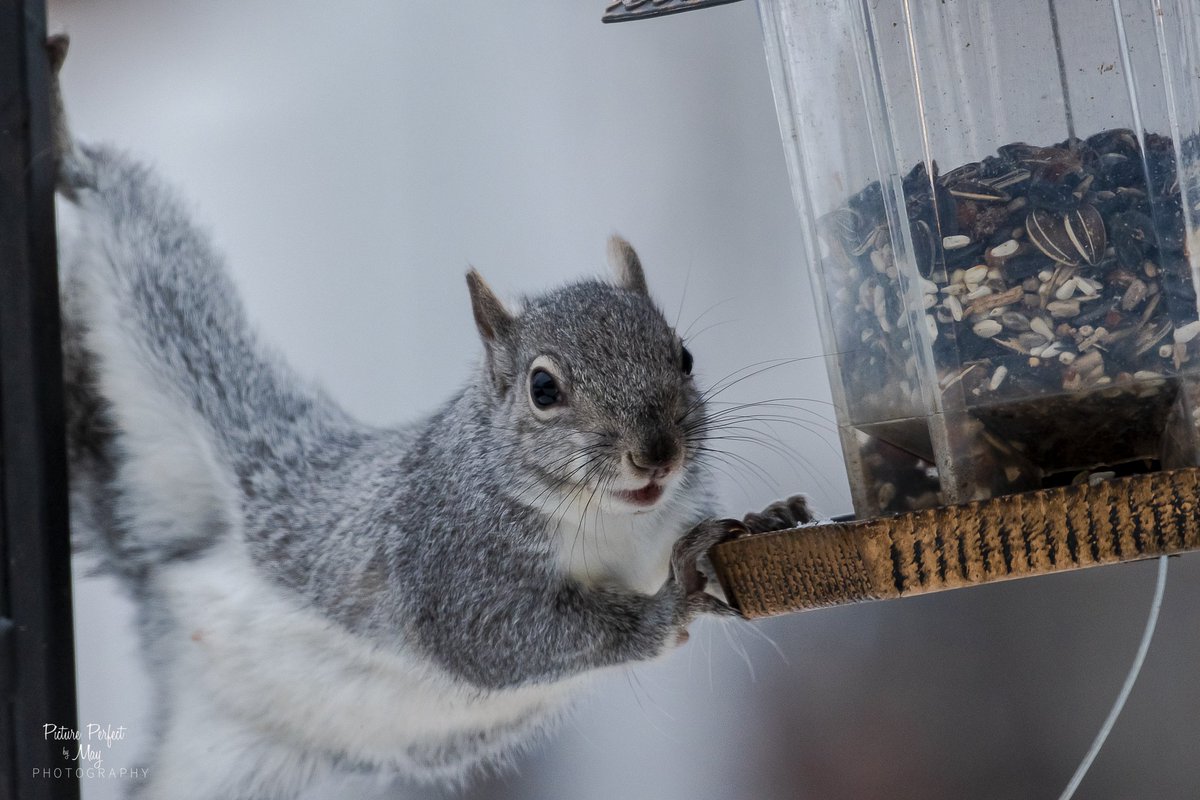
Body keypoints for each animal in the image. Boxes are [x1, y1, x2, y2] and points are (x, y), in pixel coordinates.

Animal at [47, 35, 812, 799]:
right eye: (542, 388)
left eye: (683, 356)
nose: (656, 453)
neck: (607, 521)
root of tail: (167, 589)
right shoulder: (445, 560)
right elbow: (504, 638)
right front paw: (668, 607)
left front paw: (771, 517)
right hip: (165, 298)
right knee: (121, 208)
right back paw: (62, 132)